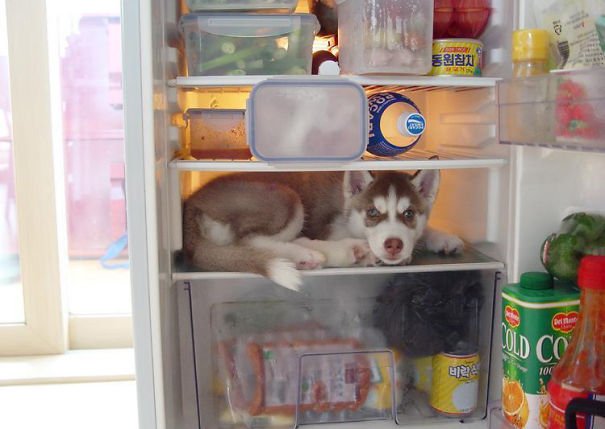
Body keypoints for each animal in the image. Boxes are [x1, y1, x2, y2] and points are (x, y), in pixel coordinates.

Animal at [182, 169, 460, 290]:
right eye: (372, 213)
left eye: (409, 214)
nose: (393, 245)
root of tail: (192, 203)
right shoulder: (332, 226)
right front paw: (369, 252)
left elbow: (424, 230)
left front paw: (444, 238)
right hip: (286, 198)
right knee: (249, 241)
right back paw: (324, 253)